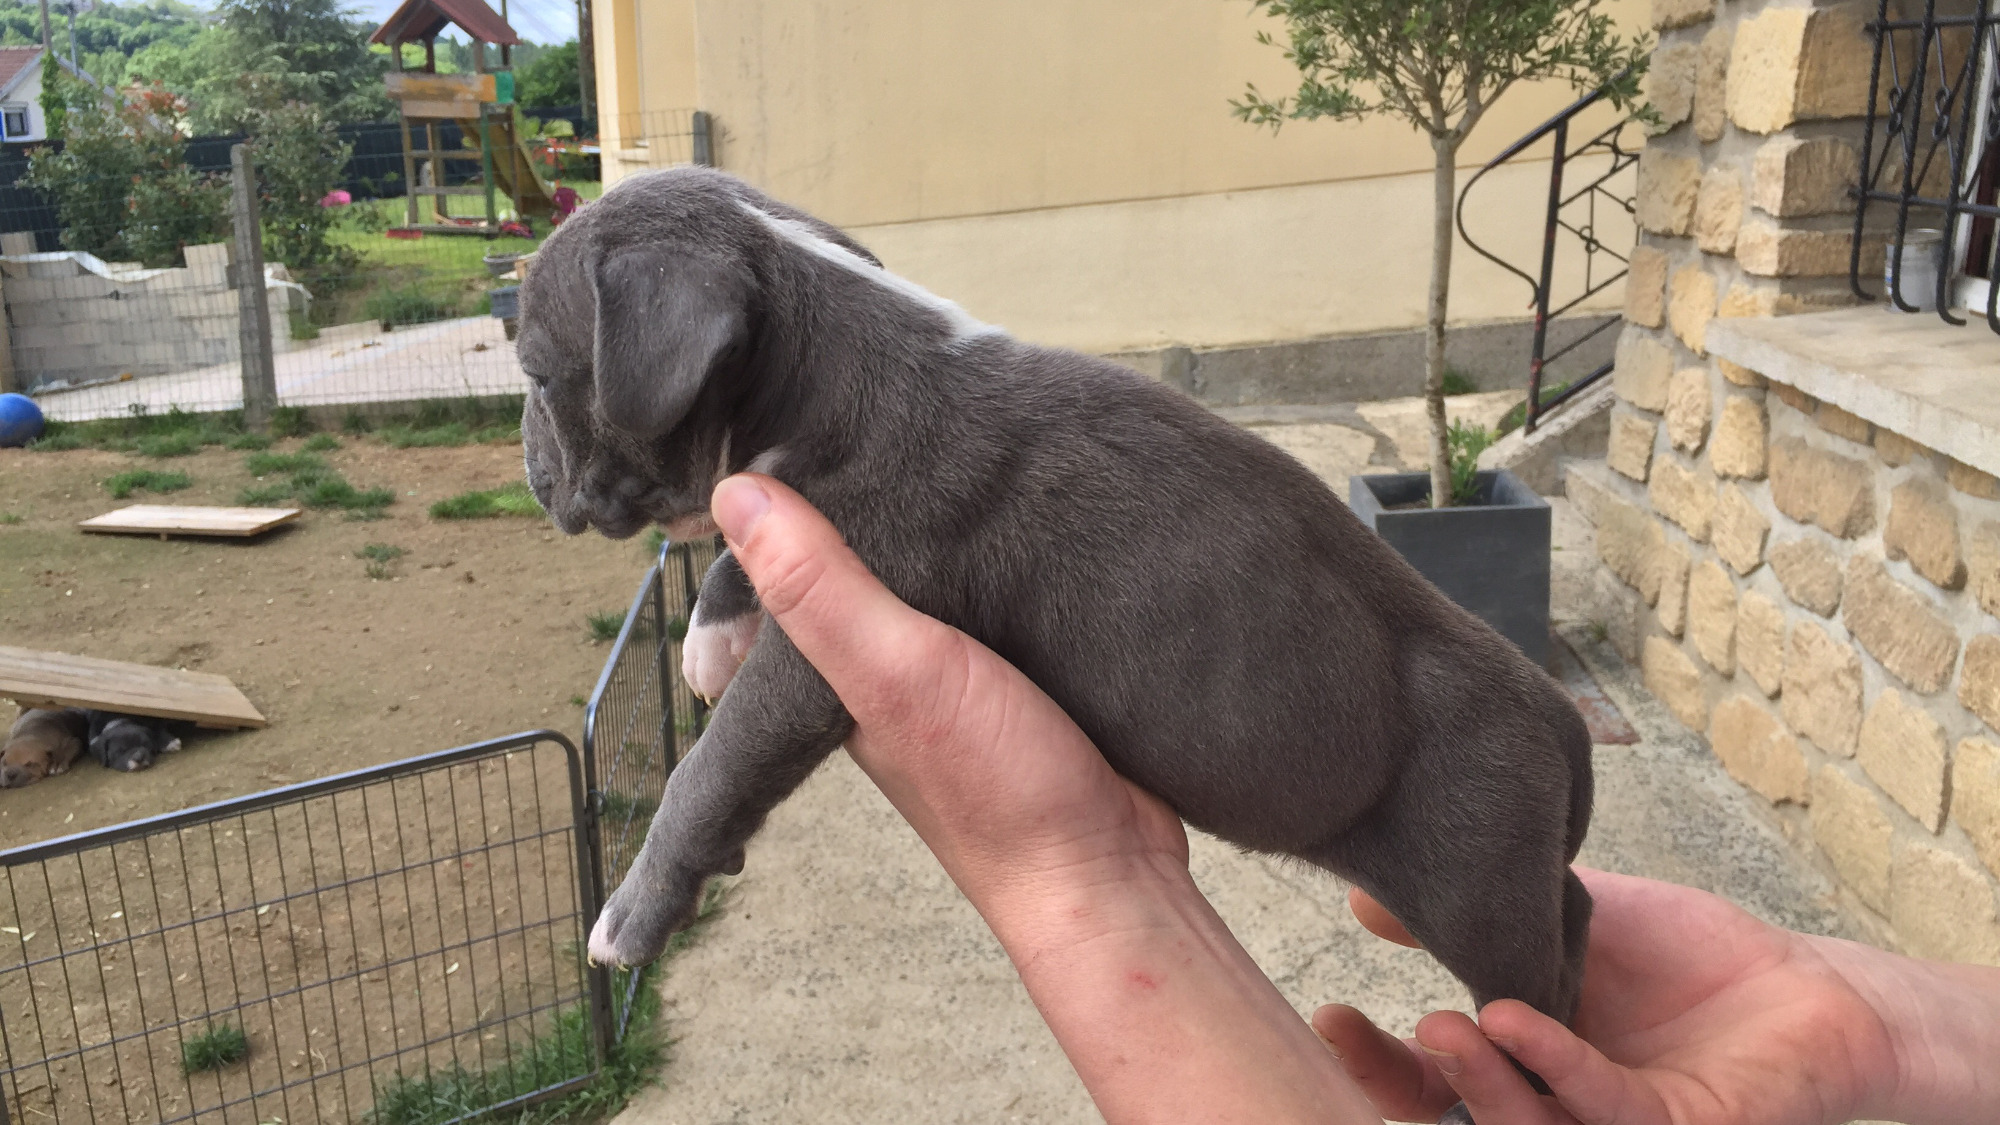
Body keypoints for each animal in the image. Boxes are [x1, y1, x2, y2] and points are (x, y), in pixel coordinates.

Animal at [516, 166, 1592, 1064]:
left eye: (530, 374)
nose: (529, 475)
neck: (817, 369)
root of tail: (1559, 716)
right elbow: (739, 557)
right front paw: (711, 634)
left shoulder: (829, 641)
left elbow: (712, 766)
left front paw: (631, 916)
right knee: (1571, 905)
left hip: (1473, 881)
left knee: (1531, 994)